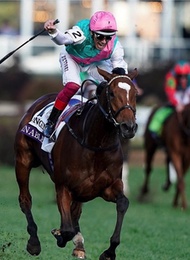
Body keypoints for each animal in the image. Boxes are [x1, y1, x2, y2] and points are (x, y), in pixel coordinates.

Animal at [13, 67, 138, 260]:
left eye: (135, 94)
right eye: (111, 93)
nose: (129, 127)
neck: (96, 143)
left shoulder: (109, 187)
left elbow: (123, 203)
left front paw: (109, 252)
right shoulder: (64, 186)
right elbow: (67, 229)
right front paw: (60, 235)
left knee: (76, 212)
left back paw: (78, 245)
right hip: (23, 160)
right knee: (25, 200)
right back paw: (34, 242)